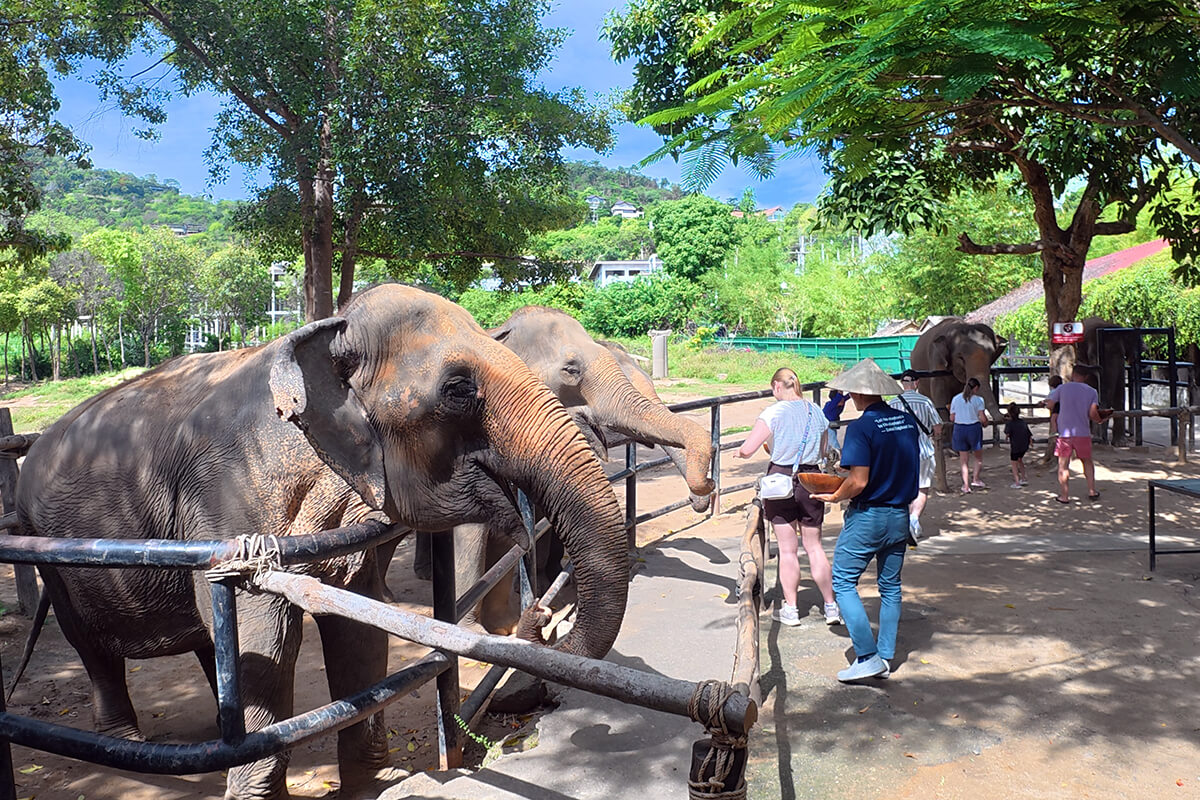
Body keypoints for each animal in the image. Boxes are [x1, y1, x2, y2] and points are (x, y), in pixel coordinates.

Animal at [14, 284, 629, 800]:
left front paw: (372, 780)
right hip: (50, 553)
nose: (544, 619)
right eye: (458, 390)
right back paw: (131, 742)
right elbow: (261, 629)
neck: (323, 333)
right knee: (92, 644)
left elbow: (361, 619)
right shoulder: (223, 499)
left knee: (205, 633)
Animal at [909, 318, 1007, 492]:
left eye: (991, 357)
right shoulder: (936, 362)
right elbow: (940, 399)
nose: (1003, 417)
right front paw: (951, 451)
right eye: (960, 357)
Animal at [1076, 316, 1142, 445]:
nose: (1104, 440)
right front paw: (1097, 439)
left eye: (1122, 354)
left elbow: (1120, 392)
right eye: (1092, 357)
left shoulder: (1120, 366)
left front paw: (1120, 443)